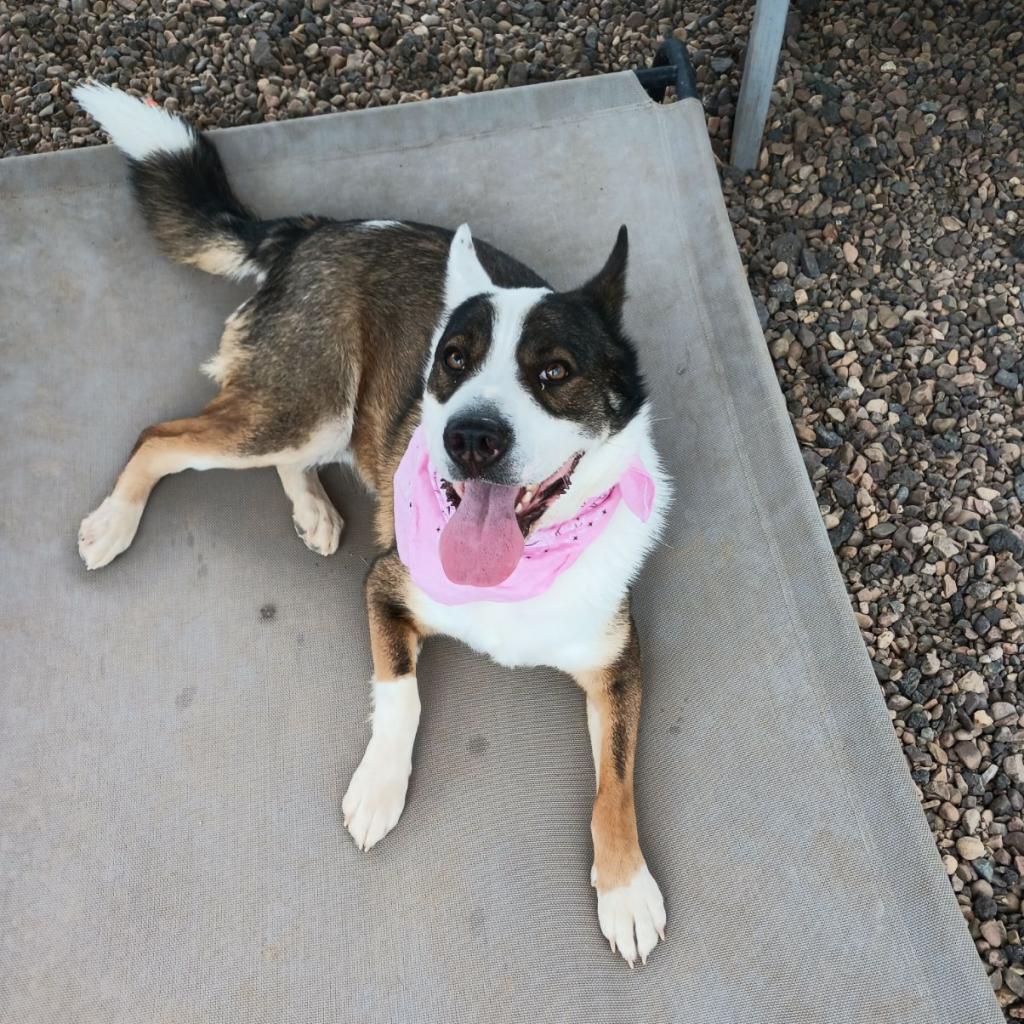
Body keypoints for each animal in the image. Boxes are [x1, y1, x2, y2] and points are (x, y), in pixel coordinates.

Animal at [77, 83, 671, 962]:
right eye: (452, 361)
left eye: (555, 373)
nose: (469, 437)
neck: (511, 571)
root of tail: (314, 229)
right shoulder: (387, 587)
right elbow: (402, 696)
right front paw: (379, 789)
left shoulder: (618, 661)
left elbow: (618, 781)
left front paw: (626, 887)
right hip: (304, 406)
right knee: (162, 438)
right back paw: (114, 523)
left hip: (318, 421)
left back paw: (315, 511)